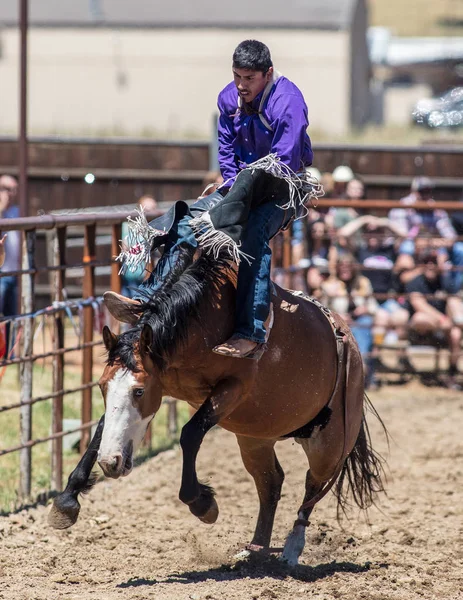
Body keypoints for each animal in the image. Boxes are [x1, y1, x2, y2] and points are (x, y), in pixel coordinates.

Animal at [49, 247, 386, 568]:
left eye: (139, 390)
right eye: (101, 386)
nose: (111, 463)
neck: (201, 324)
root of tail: (351, 344)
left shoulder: (233, 388)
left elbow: (190, 434)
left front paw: (202, 503)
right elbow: (101, 428)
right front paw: (66, 501)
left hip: (328, 445)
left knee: (312, 487)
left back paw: (291, 548)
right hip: (255, 440)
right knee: (271, 483)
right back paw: (255, 550)